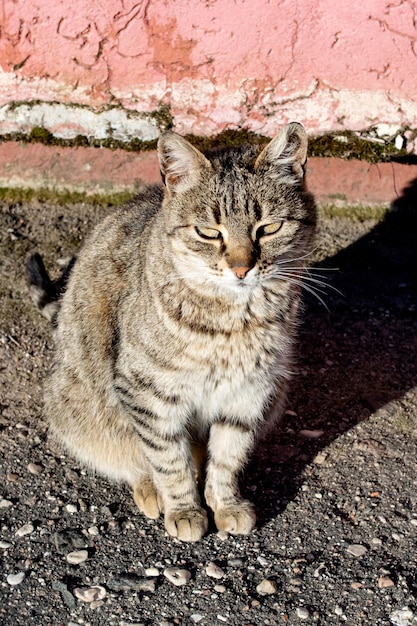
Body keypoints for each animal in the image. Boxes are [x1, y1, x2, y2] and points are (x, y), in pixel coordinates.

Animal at [26, 123, 316, 540]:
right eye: (209, 233)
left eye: (269, 228)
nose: (241, 269)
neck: (234, 320)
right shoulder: (147, 392)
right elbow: (167, 458)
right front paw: (184, 509)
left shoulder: (250, 391)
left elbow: (228, 456)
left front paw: (225, 503)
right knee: (133, 456)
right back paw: (151, 490)